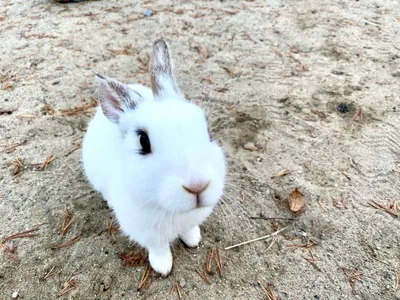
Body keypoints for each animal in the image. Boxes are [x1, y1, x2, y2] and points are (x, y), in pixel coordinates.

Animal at [82, 39, 225, 276]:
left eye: (209, 132)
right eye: (143, 141)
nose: (198, 186)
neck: (173, 211)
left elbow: (189, 230)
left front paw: (193, 240)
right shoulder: (147, 232)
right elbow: (159, 248)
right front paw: (162, 267)